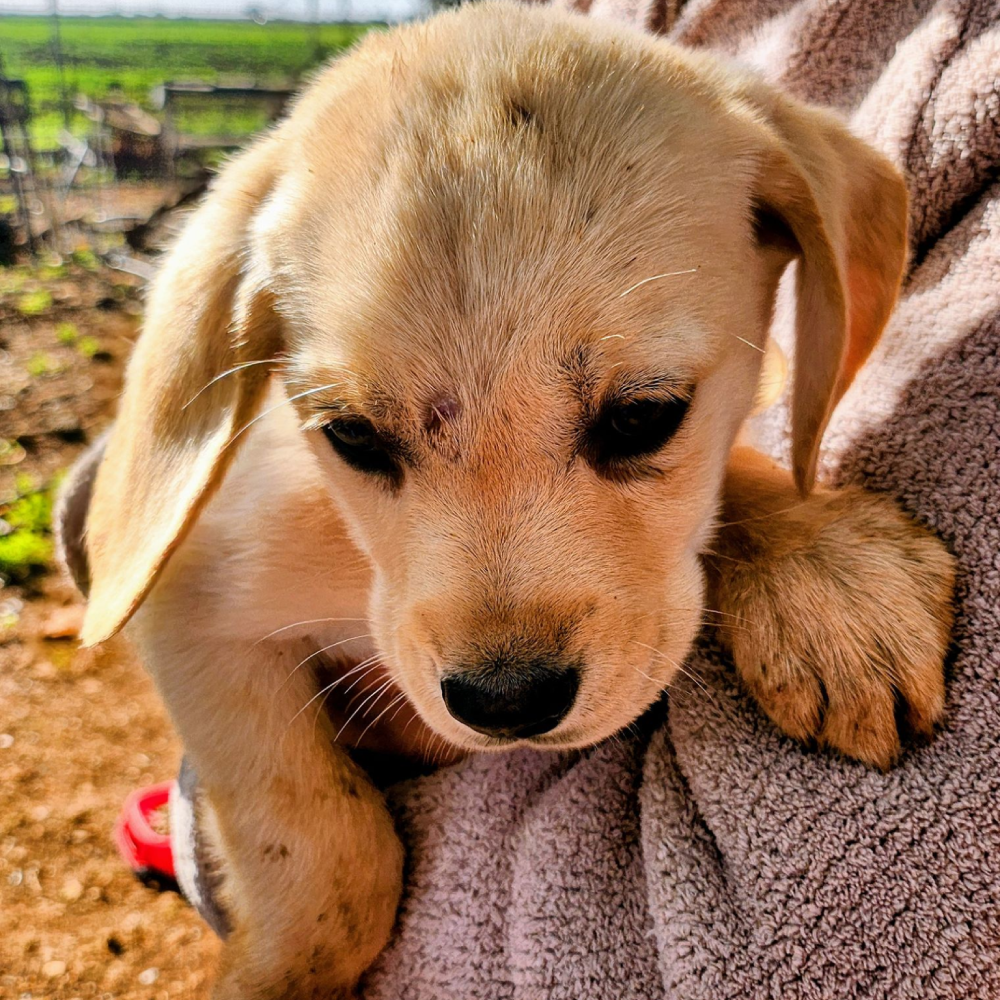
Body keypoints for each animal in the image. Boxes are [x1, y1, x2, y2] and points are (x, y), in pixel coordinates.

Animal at [64, 3, 955, 996]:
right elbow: (327, 851)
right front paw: (270, 971)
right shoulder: (194, 608)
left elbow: (741, 471)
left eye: (645, 416)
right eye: (352, 436)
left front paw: (824, 574)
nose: (505, 704)